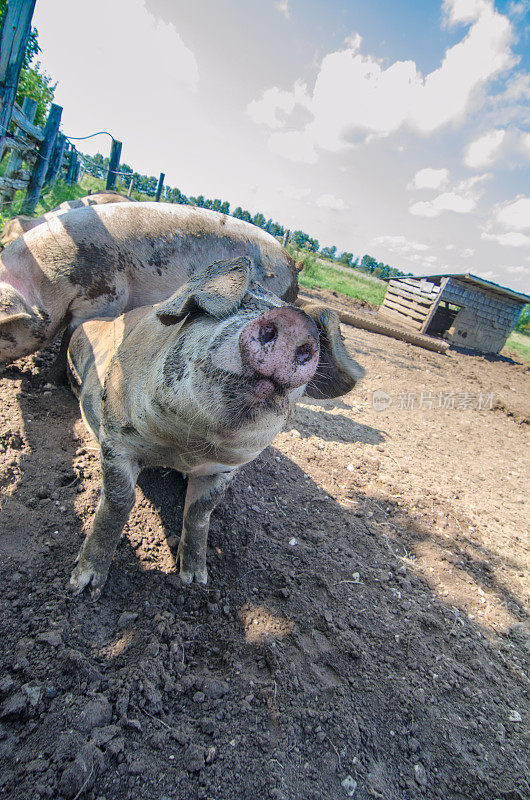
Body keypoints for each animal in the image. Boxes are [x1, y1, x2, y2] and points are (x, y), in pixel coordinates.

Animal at [0, 203, 296, 372]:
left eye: (4, 331)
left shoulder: (103, 300)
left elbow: (70, 341)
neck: (44, 281)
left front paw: (52, 380)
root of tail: (292, 264)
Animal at [67, 253, 364, 596]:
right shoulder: (117, 437)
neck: (184, 448)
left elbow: (200, 513)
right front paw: (83, 586)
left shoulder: (224, 470)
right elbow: (118, 501)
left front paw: (195, 580)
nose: (294, 321)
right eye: (240, 305)